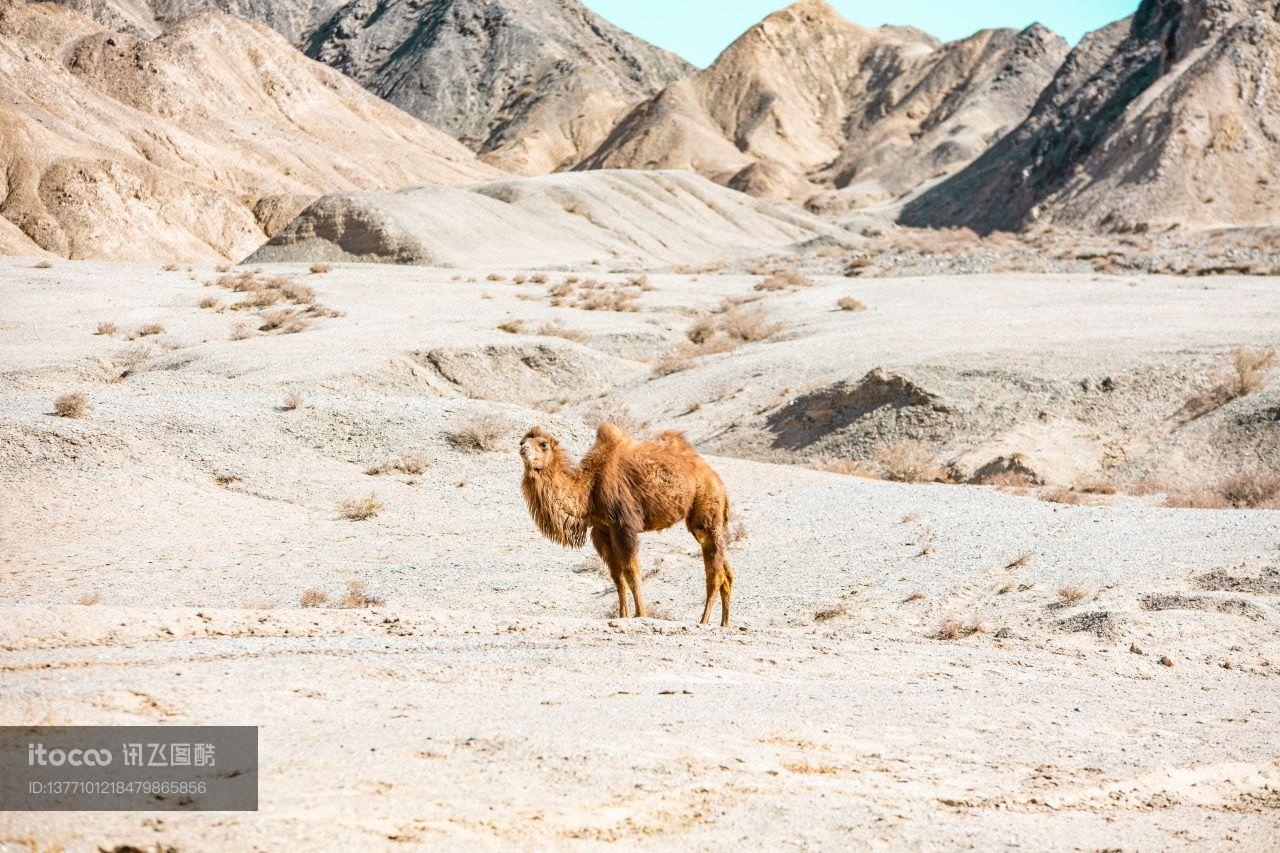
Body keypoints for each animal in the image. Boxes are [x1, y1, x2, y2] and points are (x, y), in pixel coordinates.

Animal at [519, 420, 737, 625]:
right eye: (522, 441)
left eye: (543, 444)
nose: (522, 449)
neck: (589, 489)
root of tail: (718, 481)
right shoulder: (602, 530)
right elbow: (617, 577)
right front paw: (622, 615)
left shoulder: (623, 525)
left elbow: (631, 571)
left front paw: (640, 613)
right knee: (726, 572)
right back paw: (724, 623)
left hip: (707, 511)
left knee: (715, 572)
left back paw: (704, 621)